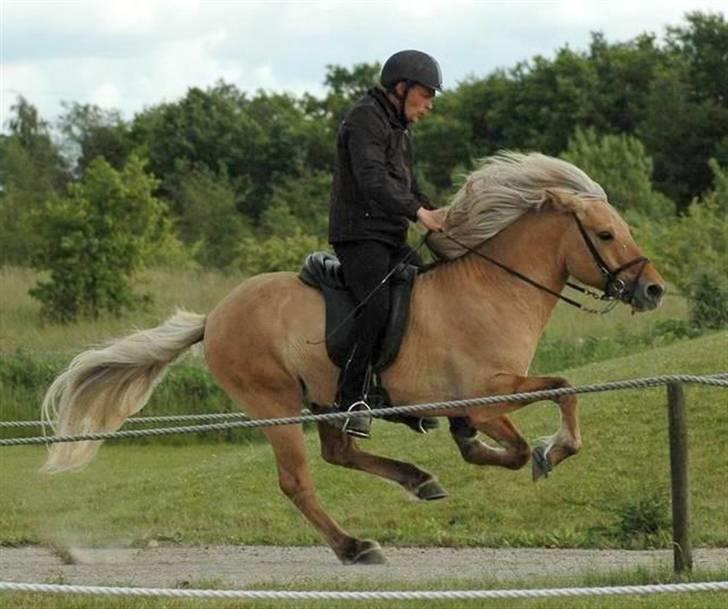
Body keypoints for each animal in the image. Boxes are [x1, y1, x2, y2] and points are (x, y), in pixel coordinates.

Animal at [39, 152, 664, 564]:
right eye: (605, 236)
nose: (653, 290)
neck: (494, 288)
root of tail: (214, 316)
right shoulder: (491, 395)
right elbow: (559, 395)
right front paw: (548, 451)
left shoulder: (479, 398)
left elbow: (513, 431)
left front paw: (488, 450)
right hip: (276, 405)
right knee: (298, 481)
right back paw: (354, 546)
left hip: (325, 399)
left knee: (339, 452)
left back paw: (418, 480)